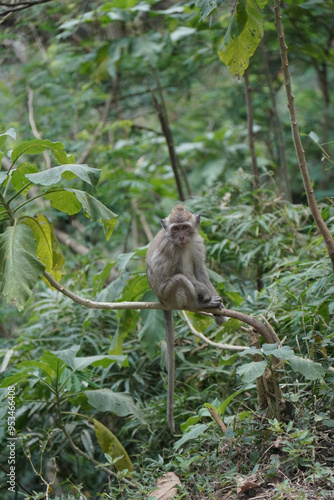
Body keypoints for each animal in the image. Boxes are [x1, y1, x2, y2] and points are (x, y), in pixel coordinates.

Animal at [145, 205, 226, 432]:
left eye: (185, 228)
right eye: (176, 229)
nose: (181, 237)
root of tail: (160, 300)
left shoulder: (197, 243)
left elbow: (201, 271)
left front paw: (219, 313)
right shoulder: (170, 249)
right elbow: (175, 273)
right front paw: (205, 295)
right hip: (169, 294)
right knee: (180, 279)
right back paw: (200, 304)